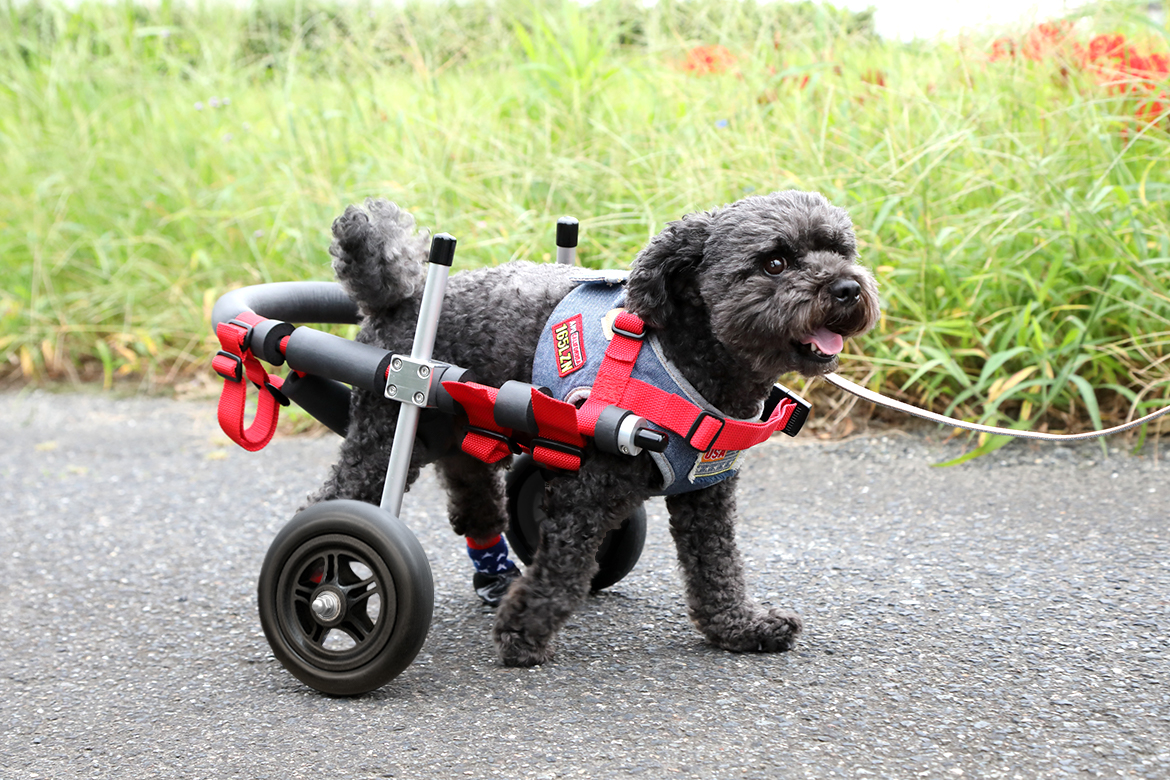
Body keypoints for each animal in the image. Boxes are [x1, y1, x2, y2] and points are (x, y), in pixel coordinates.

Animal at [311, 189, 879, 664]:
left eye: (840, 250)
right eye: (774, 262)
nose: (847, 287)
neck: (685, 355)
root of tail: (399, 297)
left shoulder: (705, 491)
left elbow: (717, 566)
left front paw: (739, 627)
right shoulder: (586, 489)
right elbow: (564, 569)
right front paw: (522, 634)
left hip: (459, 429)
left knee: (473, 495)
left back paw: (492, 573)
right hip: (389, 433)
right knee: (333, 502)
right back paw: (323, 584)